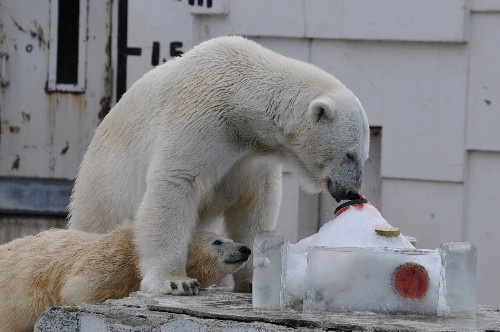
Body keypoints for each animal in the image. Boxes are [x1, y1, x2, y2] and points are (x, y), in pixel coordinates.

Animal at [68, 35, 370, 296]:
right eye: (350, 155)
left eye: (364, 157)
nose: (352, 192)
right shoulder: (199, 118)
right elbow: (175, 183)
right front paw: (175, 281)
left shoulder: (250, 158)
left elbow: (253, 204)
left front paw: (254, 278)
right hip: (102, 191)